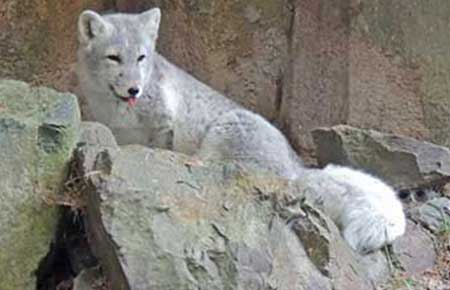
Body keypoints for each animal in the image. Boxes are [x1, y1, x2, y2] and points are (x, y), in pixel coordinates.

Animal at [75, 7, 406, 253]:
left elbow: (157, 149)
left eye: (141, 58)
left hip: (226, 130)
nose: (134, 89)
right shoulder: (119, 133)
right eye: (114, 58)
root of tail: (296, 168)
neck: (118, 109)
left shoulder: (163, 127)